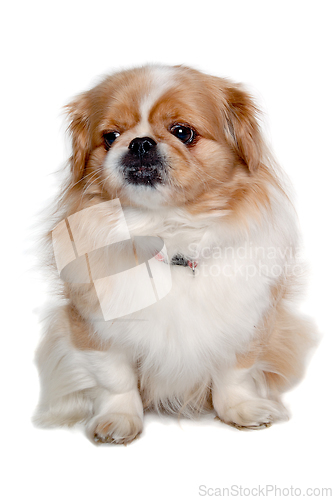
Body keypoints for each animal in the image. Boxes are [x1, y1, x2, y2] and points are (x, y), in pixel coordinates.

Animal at [34, 64, 316, 444]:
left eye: (183, 132)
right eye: (110, 136)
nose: (139, 142)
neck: (168, 238)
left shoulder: (248, 322)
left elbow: (235, 373)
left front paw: (240, 410)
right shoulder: (93, 328)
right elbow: (115, 380)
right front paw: (119, 420)